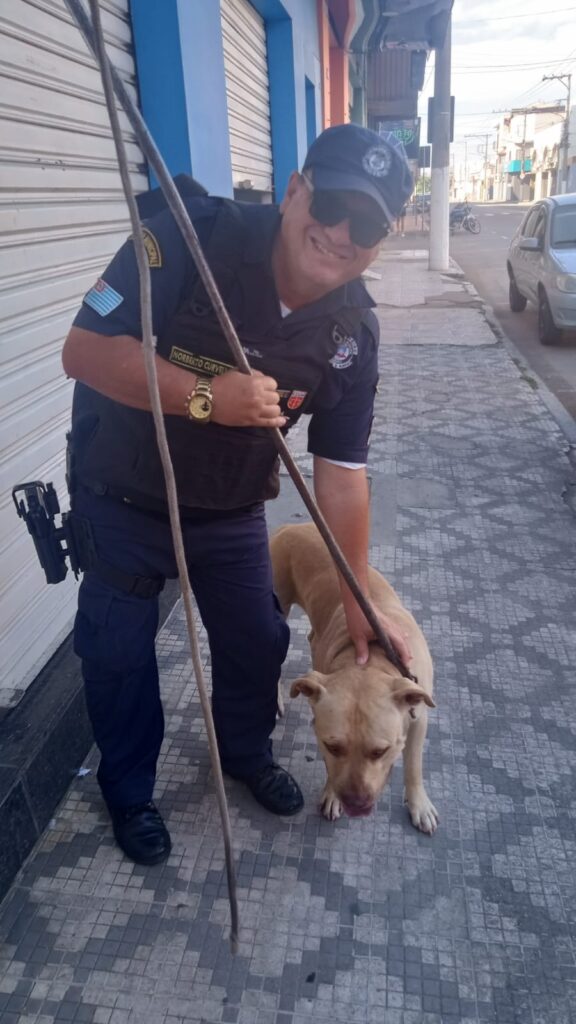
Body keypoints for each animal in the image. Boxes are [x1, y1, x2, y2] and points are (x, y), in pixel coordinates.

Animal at [270, 522, 438, 834]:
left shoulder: (419, 717)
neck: (371, 660)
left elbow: (414, 766)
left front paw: (419, 804)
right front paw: (332, 795)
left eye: (380, 751)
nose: (356, 803)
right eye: (333, 746)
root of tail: (294, 525)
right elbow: (331, 768)